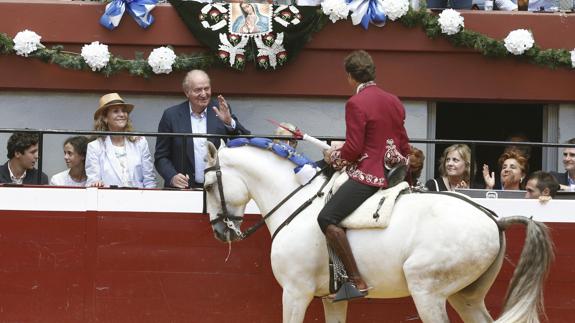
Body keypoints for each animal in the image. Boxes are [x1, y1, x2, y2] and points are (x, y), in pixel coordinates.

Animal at [205, 144, 556, 323]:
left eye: (207, 185)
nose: (221, 231)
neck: (297, 202)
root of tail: (494, 219)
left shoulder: (294, 292)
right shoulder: (332, 299)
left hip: (427, 291)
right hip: (466, 296)